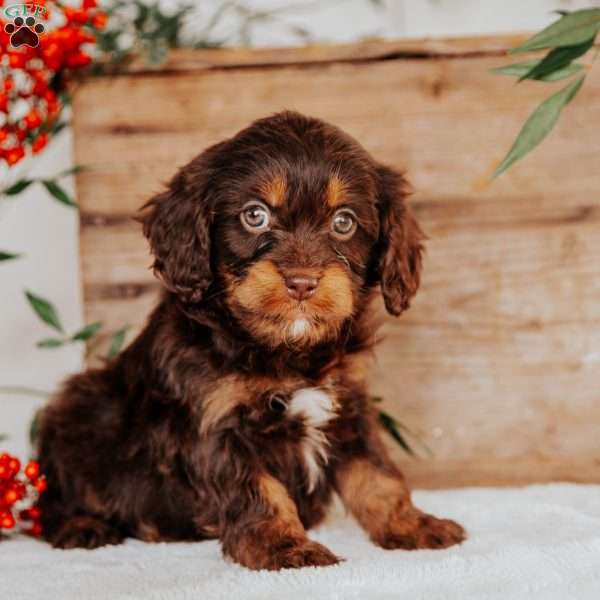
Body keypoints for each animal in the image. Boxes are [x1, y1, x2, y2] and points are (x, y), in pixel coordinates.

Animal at [37, 111, 466, 568]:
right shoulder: (217, 422)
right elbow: (258, 491)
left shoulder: (350, 406)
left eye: (344, 222)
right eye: (254, 215)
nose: (302, 283)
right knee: (54, 499)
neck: (286, 350)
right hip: (78, 410)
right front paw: (287, 547)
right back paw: (83, 527)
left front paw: (412, 524)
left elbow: (378, 474)